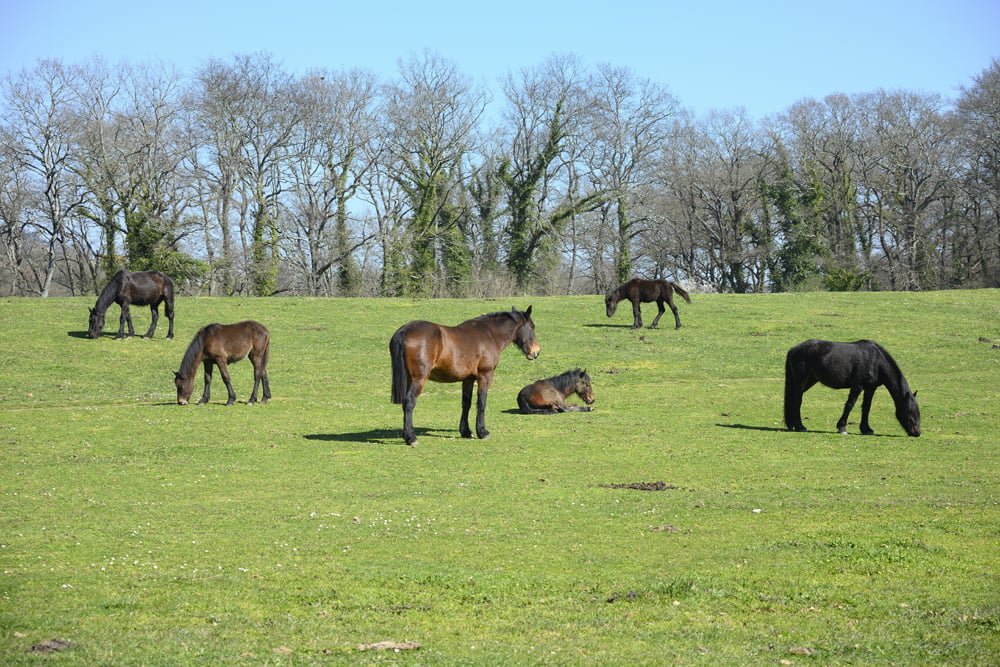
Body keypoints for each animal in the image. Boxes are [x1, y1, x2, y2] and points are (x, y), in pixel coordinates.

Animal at [388, 308, 540, 448]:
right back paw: (411, 438)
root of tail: (404, 330)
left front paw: (466, 431)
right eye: (532, 327)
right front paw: (482, 432)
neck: (489, 335)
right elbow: (481, 403)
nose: (536, 352)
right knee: (409, 402)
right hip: (419, 379)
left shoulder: (468, 379)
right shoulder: (485, 376)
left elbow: (466, 403)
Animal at [780, 340, 920, 438]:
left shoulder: (870, 388)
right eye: (910, 411)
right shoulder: (857, 386)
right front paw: (842, 427)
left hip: (809, 381)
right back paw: (800, 426)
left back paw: (792, 425)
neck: (875, 360)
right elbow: (849, 405)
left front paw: (866, 429)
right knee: (797, 400)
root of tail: (793, 350)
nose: (917, 432)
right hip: (801, 381)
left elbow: (866, 408)